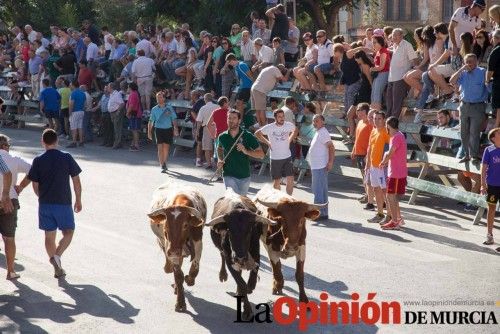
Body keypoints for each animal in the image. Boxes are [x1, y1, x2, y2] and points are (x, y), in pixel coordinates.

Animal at [146, 181, 207, 312]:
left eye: (185, 225)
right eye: (165, 226)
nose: (173, 251)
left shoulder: (198, 241)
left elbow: (195, 267)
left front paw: (189, 279)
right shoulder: (169, 246)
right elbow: (178, 275)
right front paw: (180, 303)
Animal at [206, 189, 278, 320]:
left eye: (249, 231)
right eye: (230, 230)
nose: (239, 256)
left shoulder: (256, 254)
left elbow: (251, 278)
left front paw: (250, 286)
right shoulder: (230, 260)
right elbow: (241, 283)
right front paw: (247, 310)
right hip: (223, 251)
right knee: (222, 256)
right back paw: (223, 275)